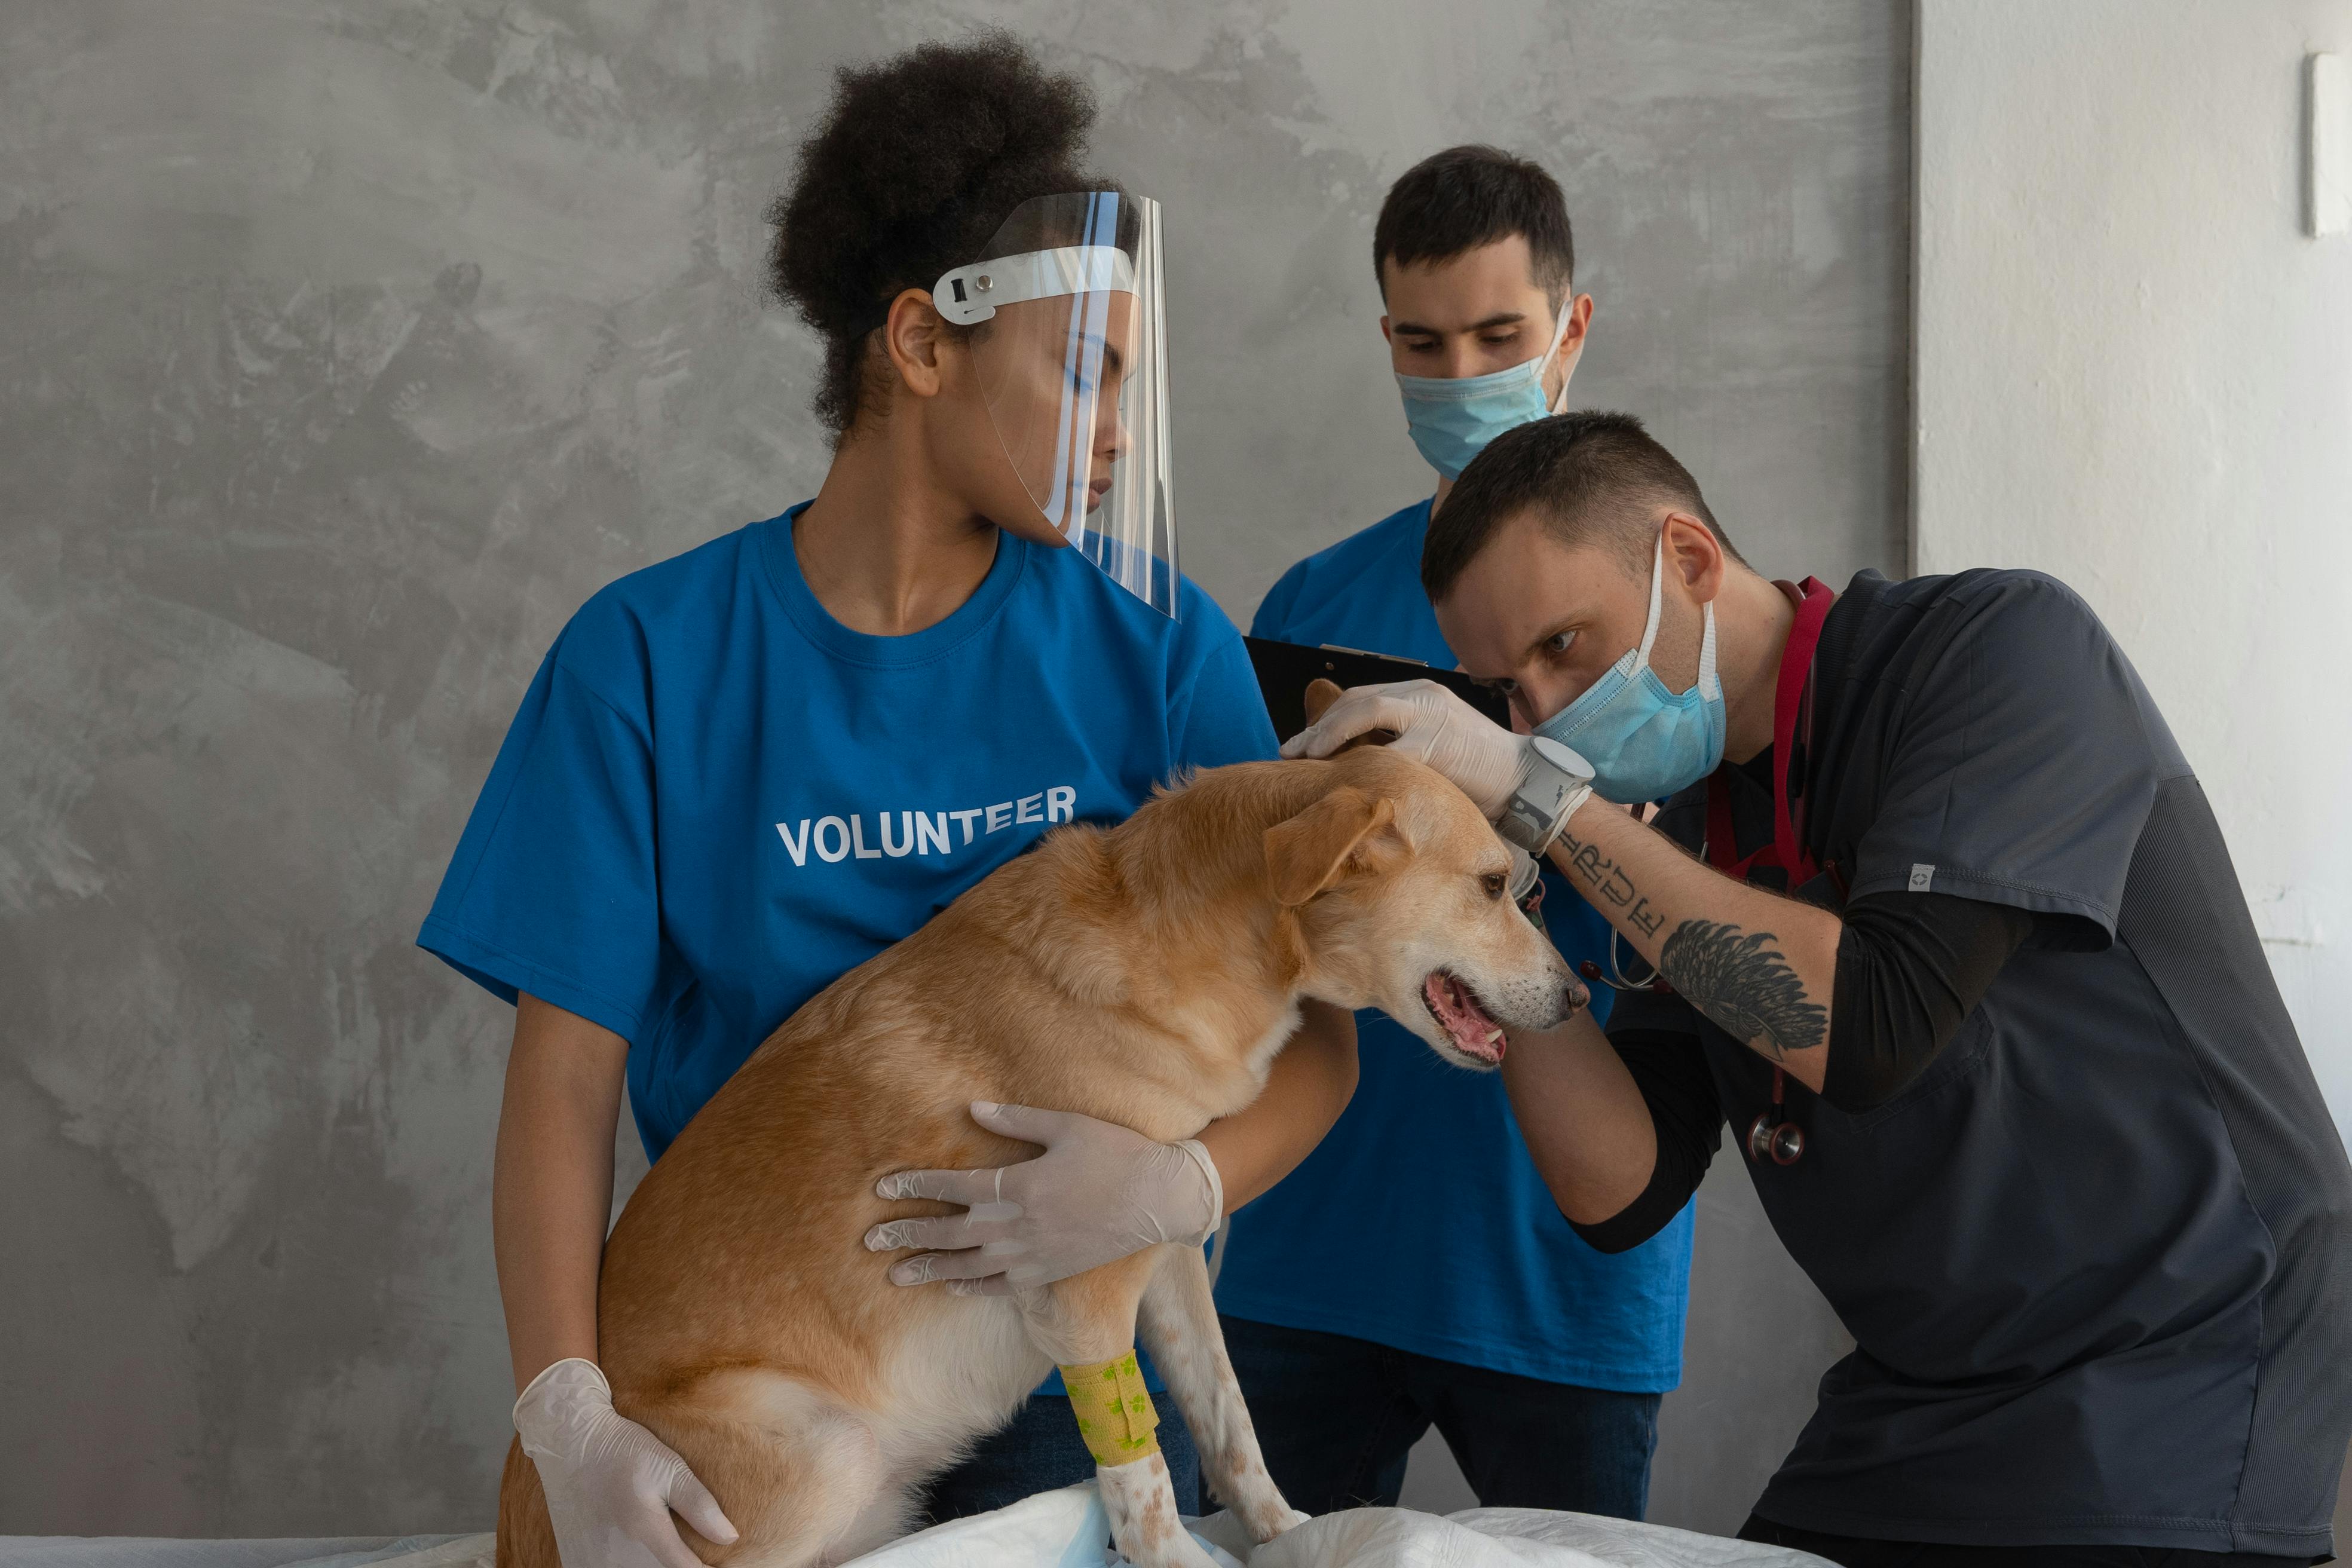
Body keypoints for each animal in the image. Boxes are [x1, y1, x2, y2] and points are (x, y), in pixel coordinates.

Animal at [503, 748, 1590, 1568]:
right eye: (1496, 885)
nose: (1583, 999)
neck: (1184, 940)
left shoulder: (1162, 1244)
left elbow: (1228, 1420)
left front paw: (1288, 1534)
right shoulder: (1084, 1293)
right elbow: (1141, 1477)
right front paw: (1177, 1558)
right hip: (822, 1450)